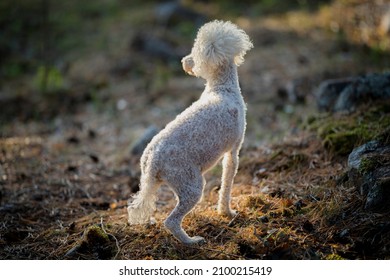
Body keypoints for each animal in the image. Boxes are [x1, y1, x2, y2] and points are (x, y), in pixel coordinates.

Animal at [126, 19, 251, 244]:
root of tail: (153, 160)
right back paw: (192, 242)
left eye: (193, 51)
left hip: (163, 182)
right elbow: (227, 182)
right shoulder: (233, 152)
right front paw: (227, 212)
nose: (184, 61)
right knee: (171, 221)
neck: (221, 88)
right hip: (191, 183)